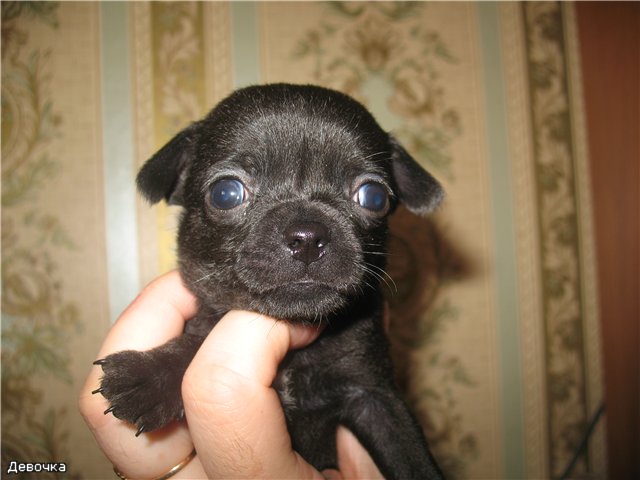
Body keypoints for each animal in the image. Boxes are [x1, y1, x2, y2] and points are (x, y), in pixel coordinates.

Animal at [94, 84, 445, 479]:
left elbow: (411, 458)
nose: (308, 235)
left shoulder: (376, 395)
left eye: (374, 197)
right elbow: (200, 336)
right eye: (226, 193)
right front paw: (150, 373)